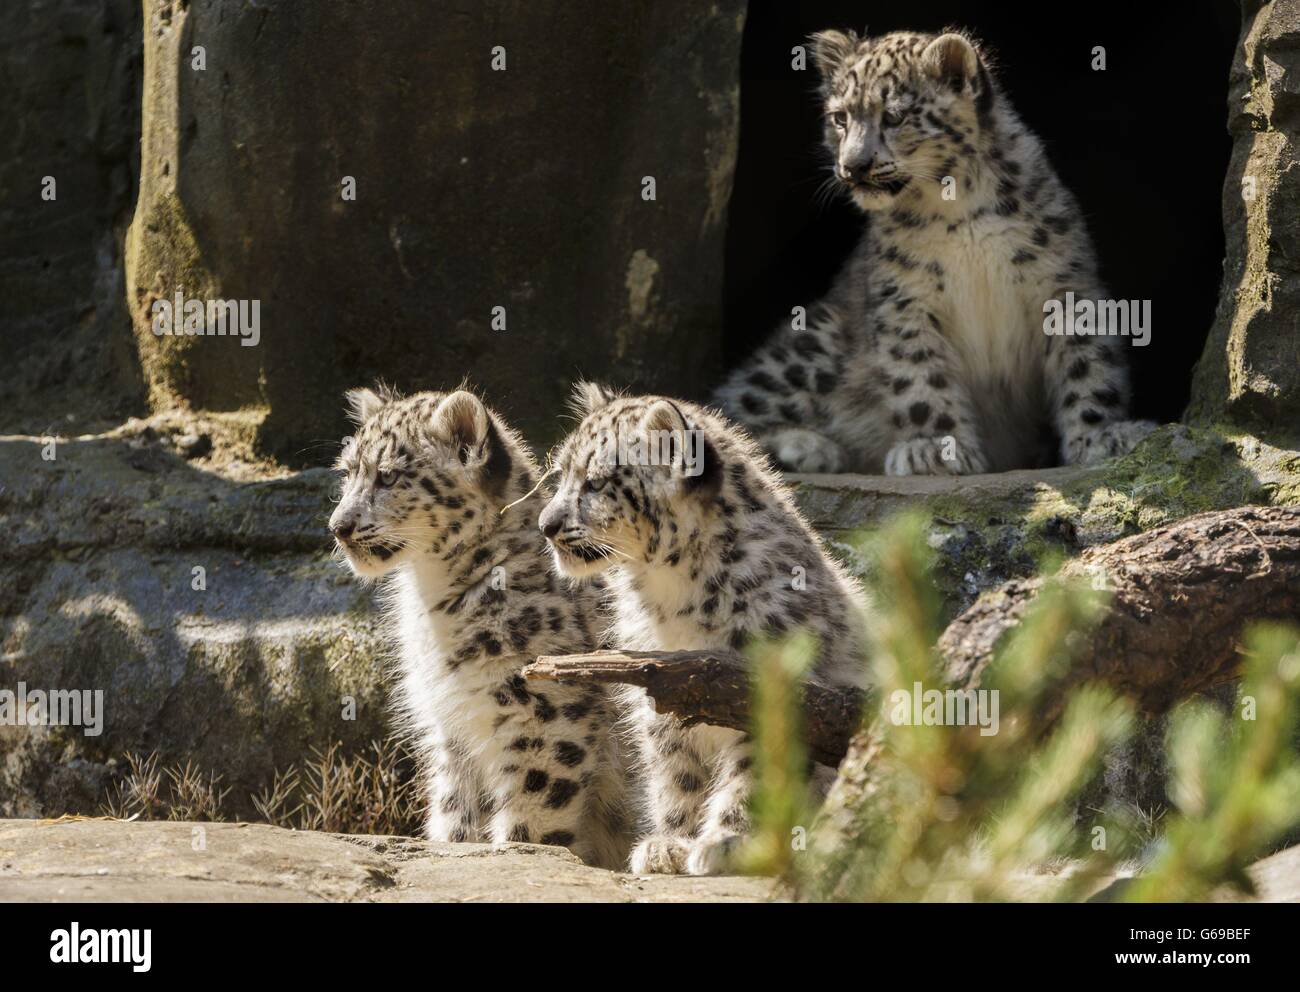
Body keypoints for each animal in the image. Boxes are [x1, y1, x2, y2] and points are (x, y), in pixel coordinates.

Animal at [328, 384, 631, 869]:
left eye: (389, 477)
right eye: (348, 472)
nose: (338, 526)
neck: (433, 601)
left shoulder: (548, 718)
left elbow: (533, 819)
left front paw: (518, 853)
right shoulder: (452, 730)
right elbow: (456, 810)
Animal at [538, 383, 871, 875]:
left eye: (595, 482)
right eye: (560, 474)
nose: (547, 524)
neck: (670, 598)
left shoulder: (762, 688)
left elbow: (750, 775)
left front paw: (725, 841)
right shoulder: (662, 694)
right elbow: (677, 777)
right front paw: (670, 842)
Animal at [713, 28, 1156, 476]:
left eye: (894, 116)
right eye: (840, 118)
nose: (853, 166)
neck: (957, 208)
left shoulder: (1063, 282)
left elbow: (1087, 362)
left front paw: (1100, 437)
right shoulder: (905, 301)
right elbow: (920, 377)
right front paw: (938, 451)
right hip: (814, 343)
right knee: (731, 404)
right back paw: (808, 448)